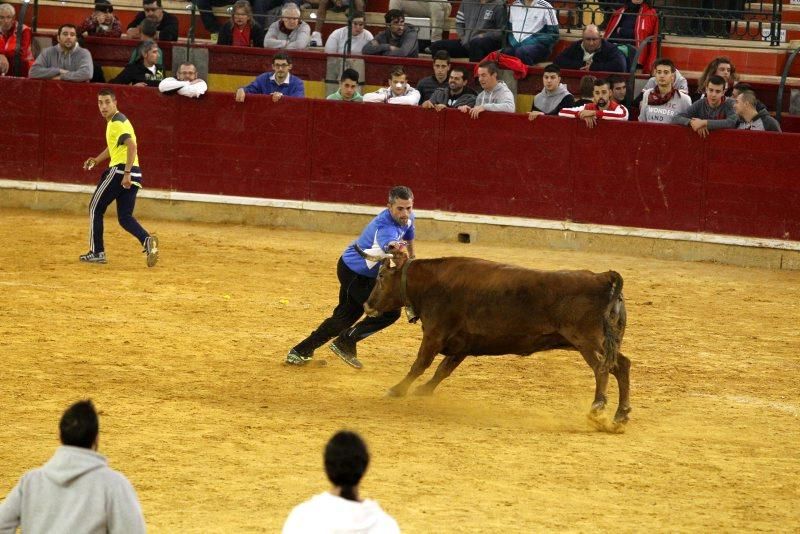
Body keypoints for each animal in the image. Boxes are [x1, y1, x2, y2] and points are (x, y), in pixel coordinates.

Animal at [356, 247, 632, 428]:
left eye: (380, 277)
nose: (367, 304)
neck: (430, 283)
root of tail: (602, 277)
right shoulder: (462, 344)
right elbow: (443, 370)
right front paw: (423, 390)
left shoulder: (434, 334)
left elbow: (420, 364)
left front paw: (397, 389)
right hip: (604, 342)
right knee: (622, 365)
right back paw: (620, 415)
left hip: (587, 341)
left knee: (603, 367)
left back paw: (598, 408)